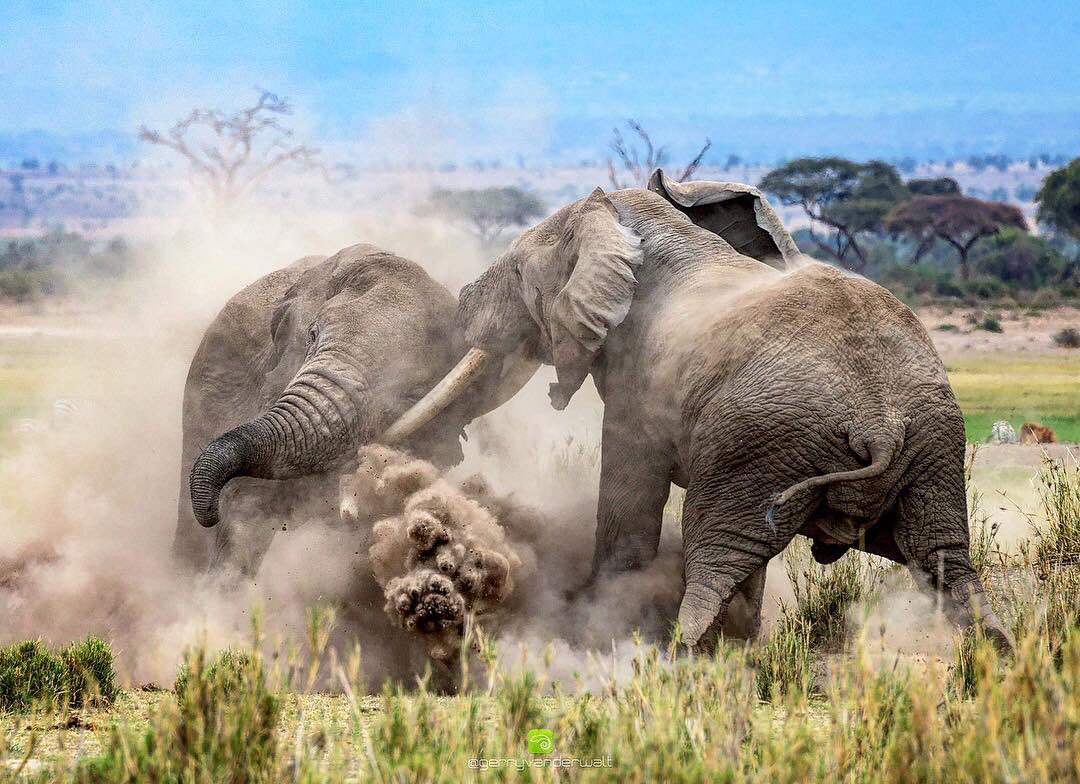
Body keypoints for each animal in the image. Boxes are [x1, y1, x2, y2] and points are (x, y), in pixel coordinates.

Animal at [395, 173, 1010, 656]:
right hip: (929, 447)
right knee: (945, 562)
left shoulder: (637, 388)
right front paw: (738, 641)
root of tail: (879, 419)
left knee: (713, 554)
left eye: (521, 275)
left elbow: (630, 499)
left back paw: (679, 656)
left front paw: (600, 624)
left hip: (766, 441)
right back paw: (993, 657)